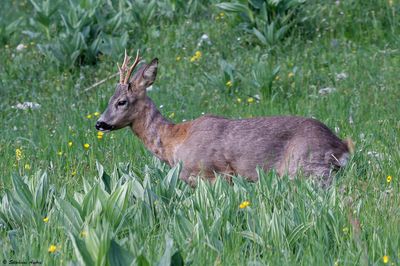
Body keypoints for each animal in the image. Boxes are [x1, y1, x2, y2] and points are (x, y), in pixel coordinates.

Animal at [97, 50, 354, 187]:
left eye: (121, 102)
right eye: (110, 98)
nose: (99, 123)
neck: (173, 141)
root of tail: (342, 146)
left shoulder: (211, 173)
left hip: (305, 166)